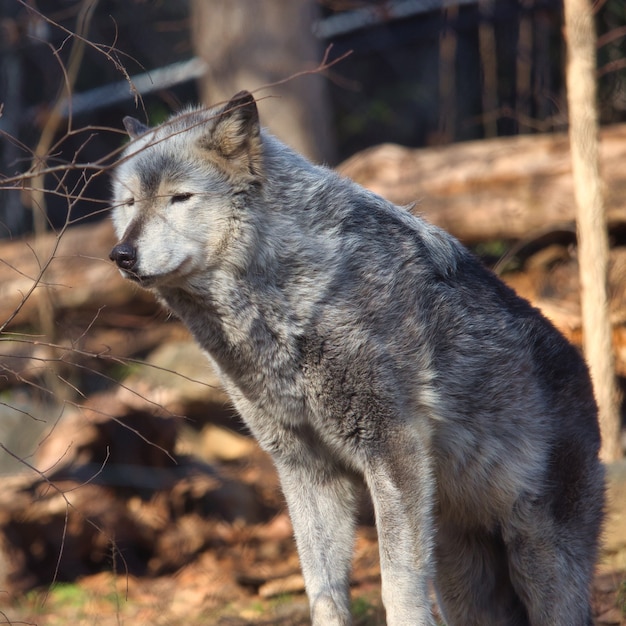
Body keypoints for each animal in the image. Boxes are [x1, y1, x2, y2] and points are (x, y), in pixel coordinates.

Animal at [109, 90, 604, 620]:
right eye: (129, 202)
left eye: (180, 198)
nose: (121, 255)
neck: (287, 300)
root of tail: (586, 377)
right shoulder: (305, 470)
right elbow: (322, 590)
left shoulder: (393, 448)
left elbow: (397, 587)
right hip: (462, 579)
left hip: (538, 562)